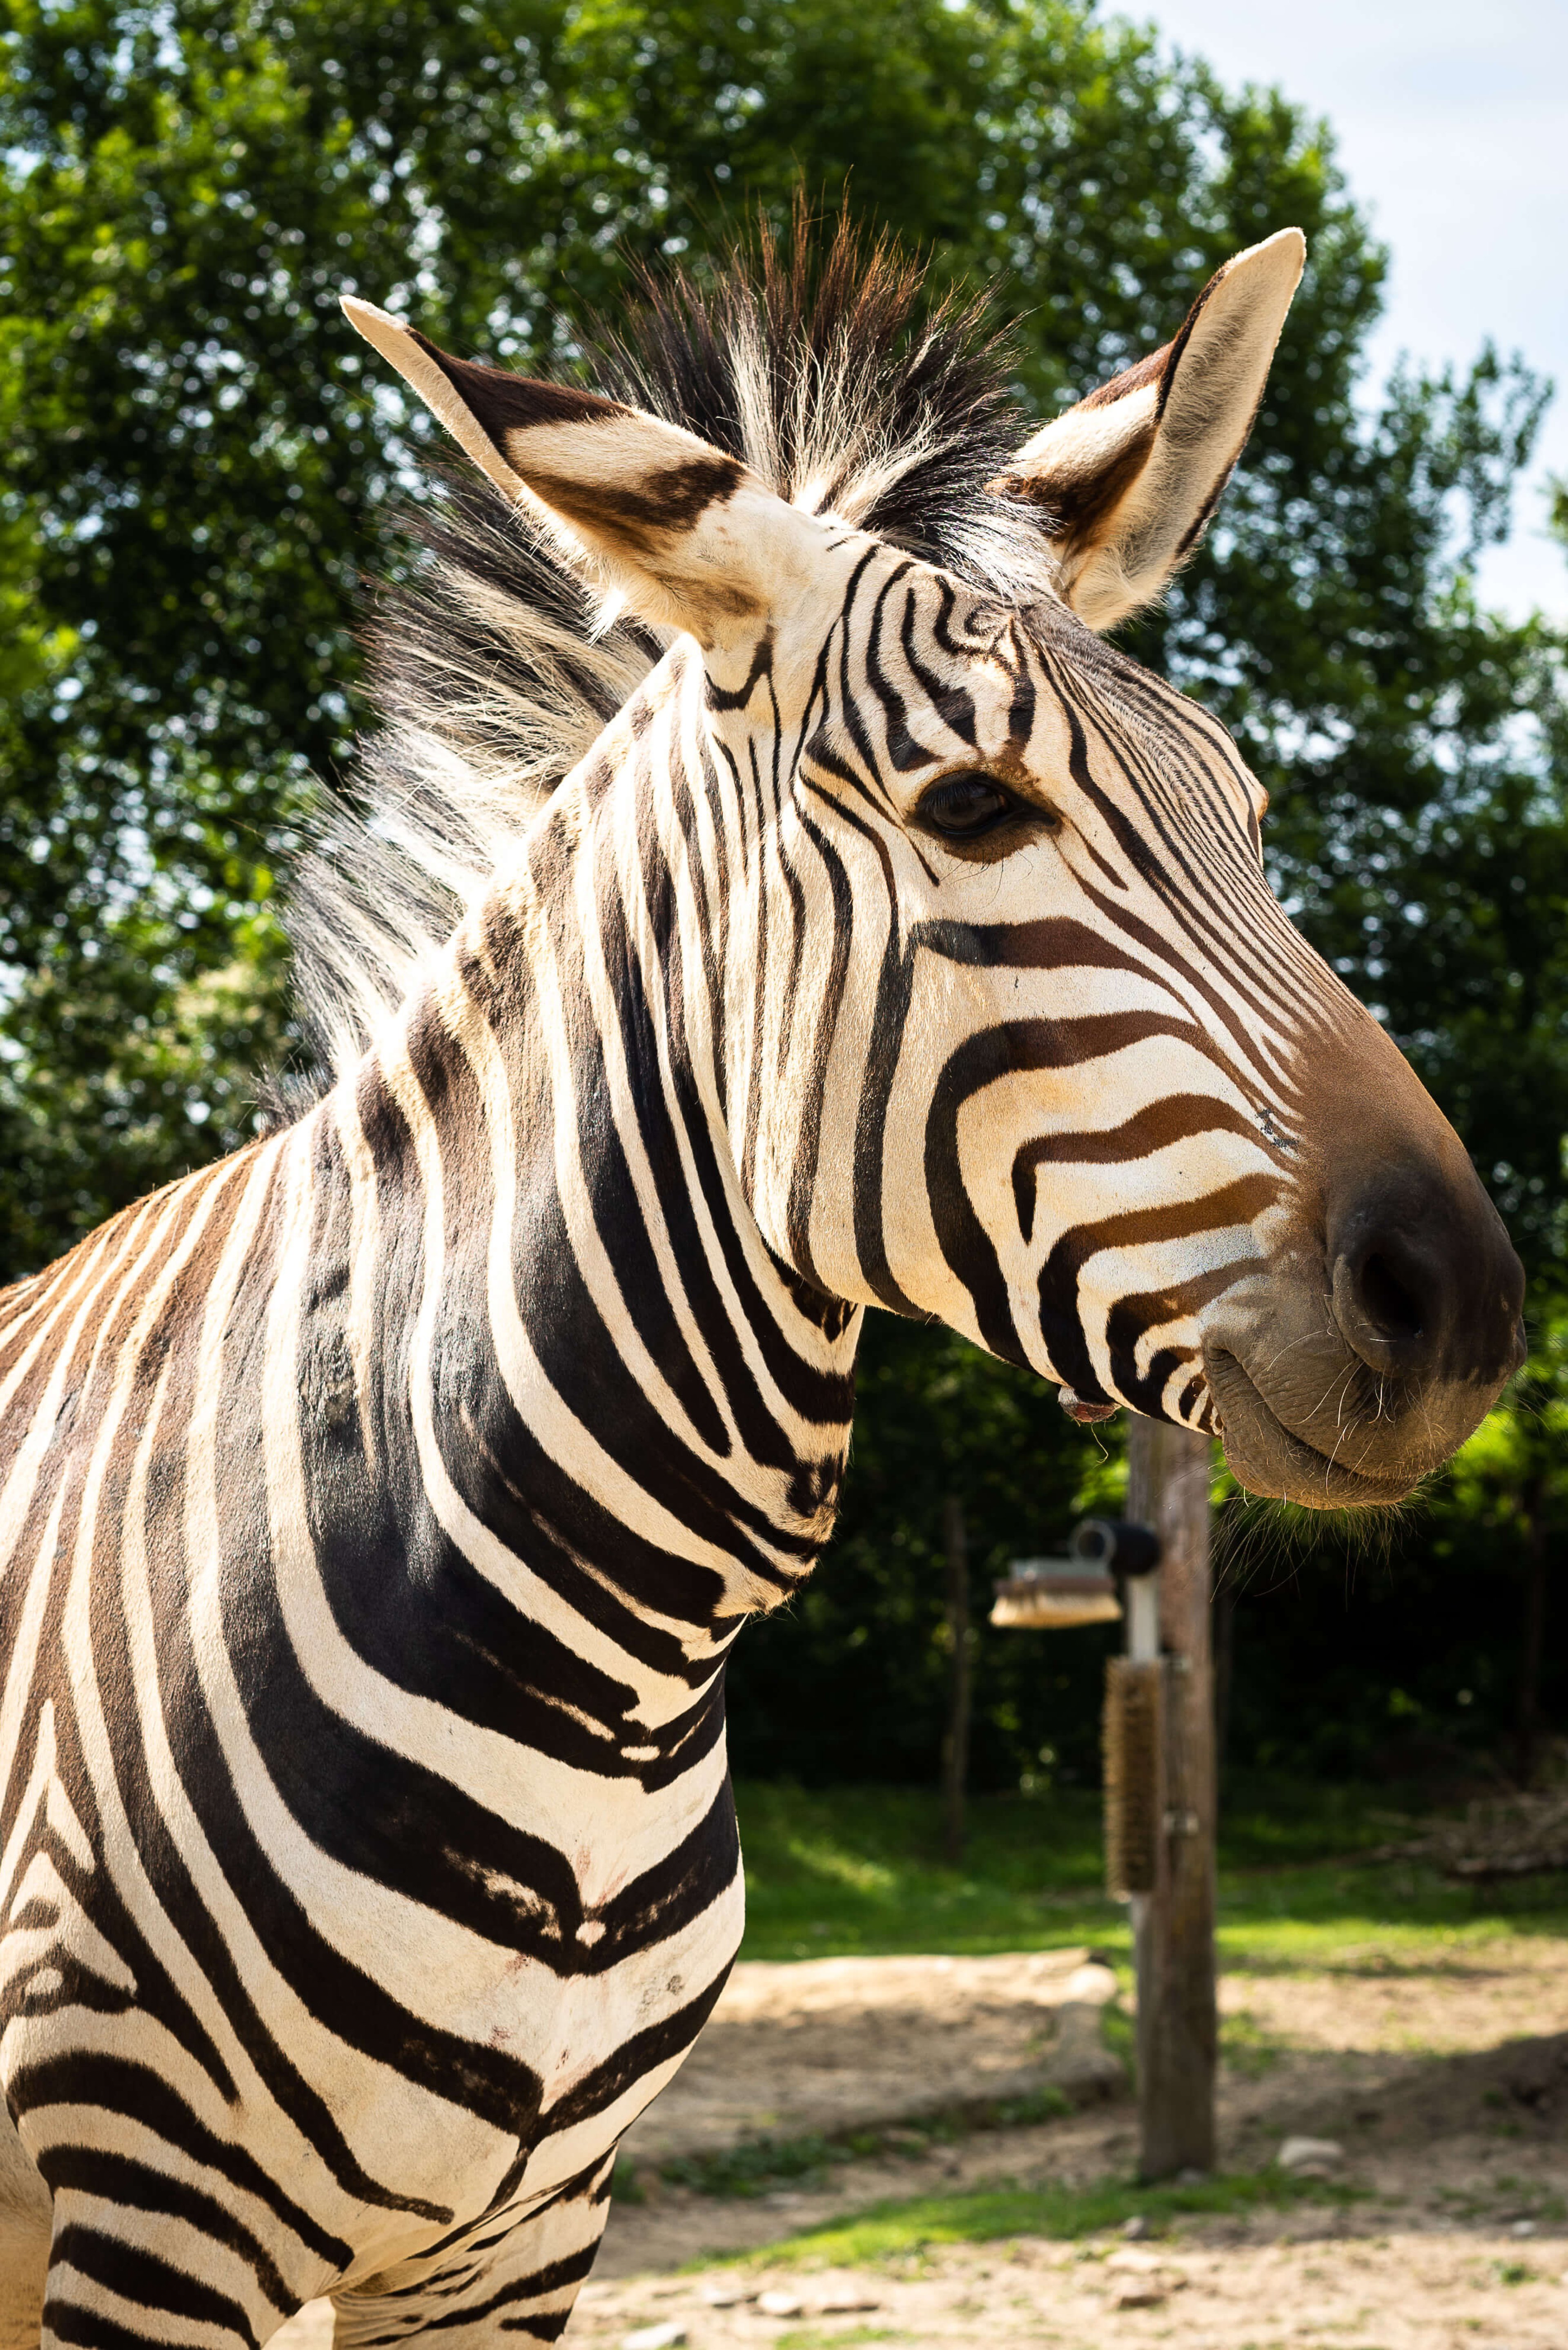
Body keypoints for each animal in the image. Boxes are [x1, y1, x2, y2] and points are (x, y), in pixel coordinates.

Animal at [0, 220, 1523, 2348]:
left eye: (1252, 819)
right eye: (973, 808)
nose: (1455, 1306)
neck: (609, 1665)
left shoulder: (519, 2242)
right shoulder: (148, 2228)